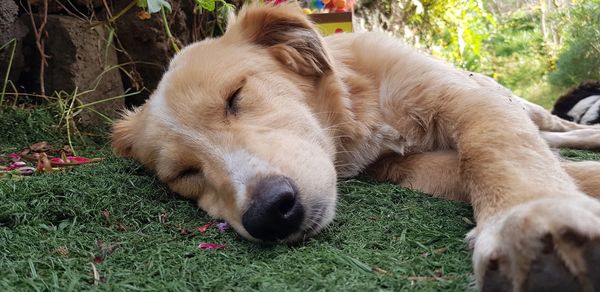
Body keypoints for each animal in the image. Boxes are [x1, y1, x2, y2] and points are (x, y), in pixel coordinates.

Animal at [112, 2, 600, 292]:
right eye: (185, 175)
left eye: (236, 96)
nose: (270, 214)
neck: (356, 110)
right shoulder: (403, 167)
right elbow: (483, 166)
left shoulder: (464, 99)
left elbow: (495, 144)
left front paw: (530, 214)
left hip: (511, 97)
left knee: (548, 126)